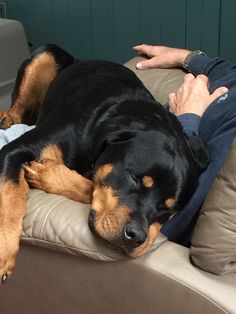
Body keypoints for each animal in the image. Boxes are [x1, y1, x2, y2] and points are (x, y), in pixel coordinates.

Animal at [0, 43, 208, 282]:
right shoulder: (15, 150)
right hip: (47, 52)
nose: (137, 236)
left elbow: (91, 185)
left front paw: (49, 174)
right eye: (135, 179)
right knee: (17, 112)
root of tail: (81, 59)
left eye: (169, 209)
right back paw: (6, 117)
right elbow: (11, 197)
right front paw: (4, 253)